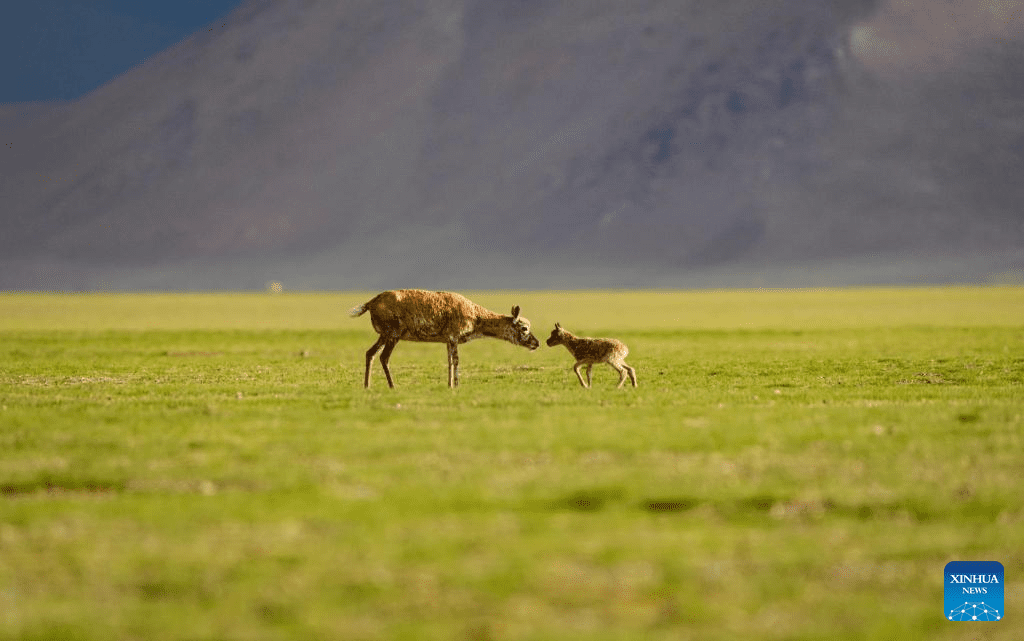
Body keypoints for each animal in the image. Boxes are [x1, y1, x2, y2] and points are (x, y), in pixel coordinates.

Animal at [350, 288, 544, 387]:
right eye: (524, 328)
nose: (537, 343)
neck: (476, 316)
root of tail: (371, 302)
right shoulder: (453, 337)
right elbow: (456, 361)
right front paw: (456, 385)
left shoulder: (447, 341)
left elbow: (449, 361)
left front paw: (449, 385)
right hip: (393, 335)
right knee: (383, 357)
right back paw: (392, 386)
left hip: (384, 336)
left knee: (370, 353)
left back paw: (367, 386)